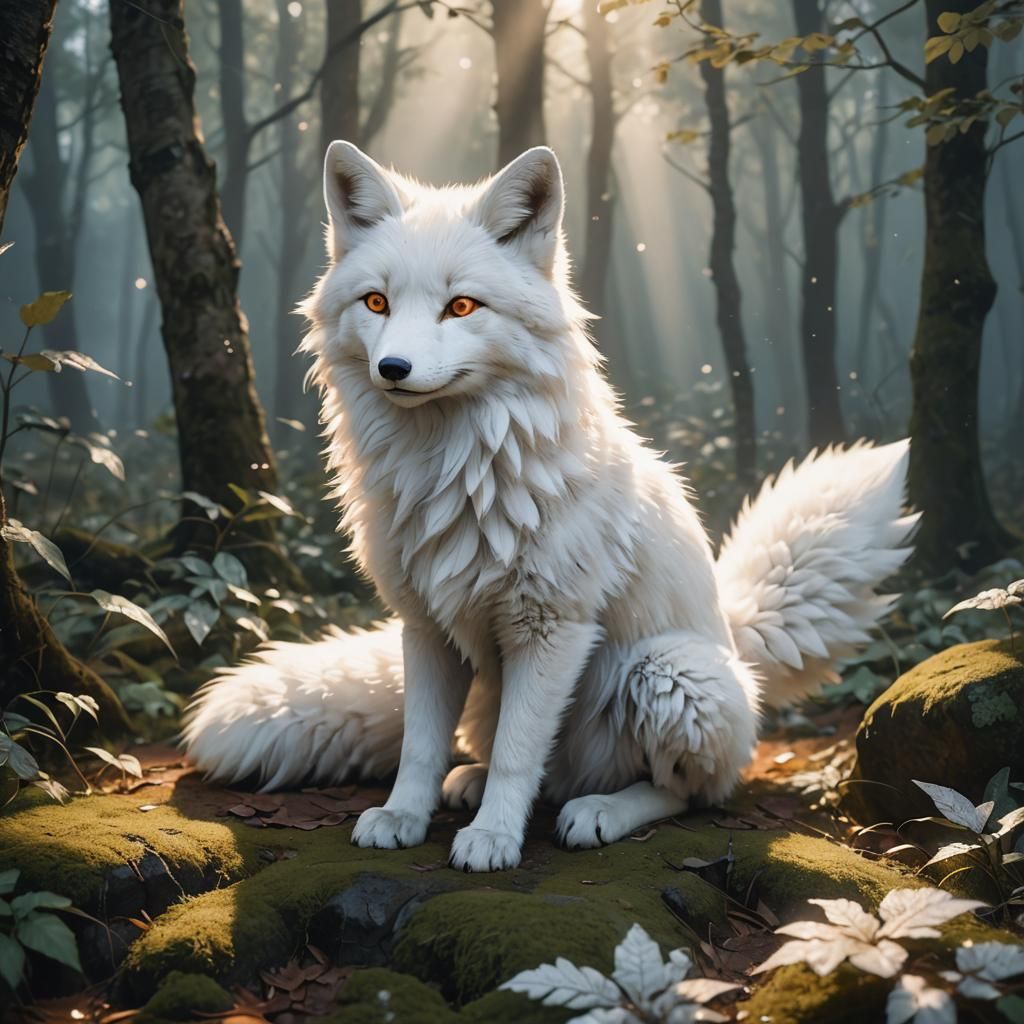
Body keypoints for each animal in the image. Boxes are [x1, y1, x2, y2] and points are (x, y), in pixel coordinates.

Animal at [182, 142, 917, 872]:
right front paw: (403, 817)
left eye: (461, 307)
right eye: (377, 302)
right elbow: (422, 747)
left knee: (688, 792)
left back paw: (599, 811)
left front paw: (493, 838)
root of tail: (737, 641)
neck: (458, 473)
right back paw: (474, 784)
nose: (393, 369)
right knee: (532, 766)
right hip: (496, 688)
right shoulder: (426, 627)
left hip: (669, 672)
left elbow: (517, 754)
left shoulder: (552, 627)